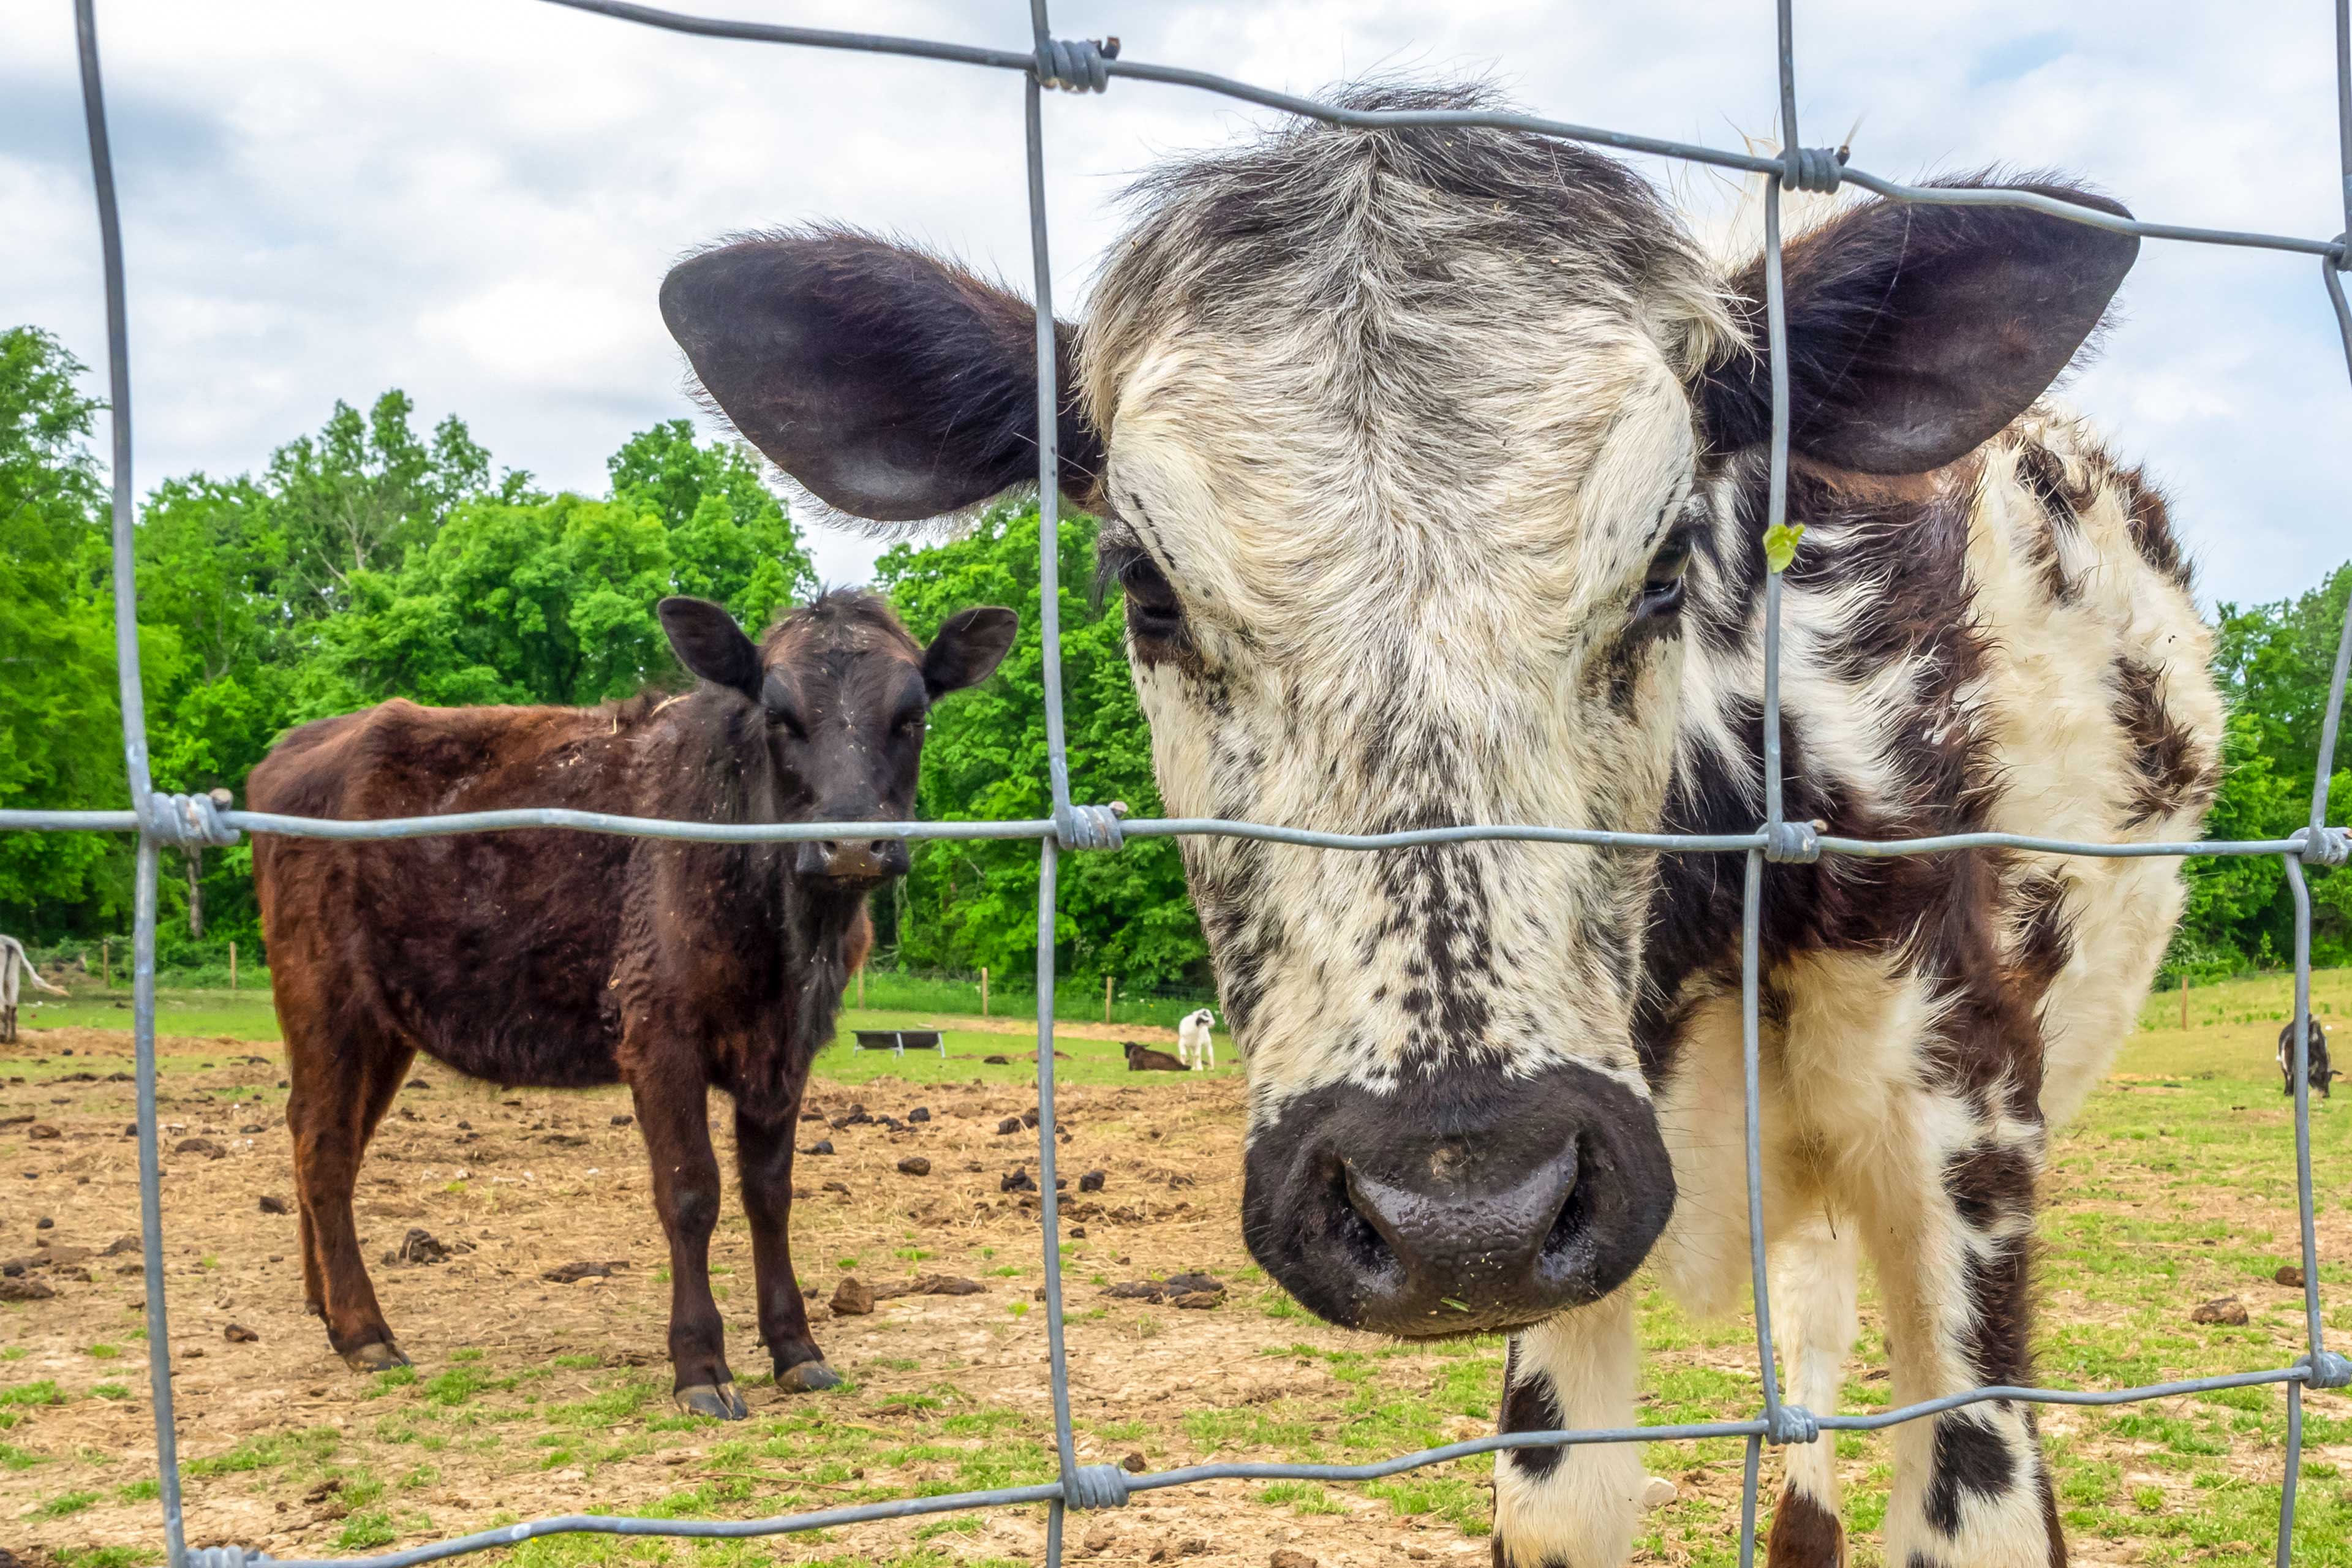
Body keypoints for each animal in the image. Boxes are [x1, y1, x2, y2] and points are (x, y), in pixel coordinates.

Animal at [0, 940, 70, 1048]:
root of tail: (8, 941)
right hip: (13, 977)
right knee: (12, 1007)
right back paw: (11, 1039)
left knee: (4, 1007)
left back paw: (4, 1038)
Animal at [250, 592, 1020, 1420]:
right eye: (777, 714)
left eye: (913, 715)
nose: (850, 845)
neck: (786, 936)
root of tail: (298, 746)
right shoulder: (658, 1033)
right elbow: (690, 1191)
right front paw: (701, 1365)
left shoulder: (786, 1048)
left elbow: (770, 1192)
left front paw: (797, 1348)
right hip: (325, 1000)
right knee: (324, 1145)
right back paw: (365, 1330)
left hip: (388, 1023)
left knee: (327, 1138)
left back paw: (326, 1307)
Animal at [663, 83, 2220, 1568]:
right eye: (1145, 585)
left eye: (1669, 560)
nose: (1453, 1209)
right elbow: (1556, 1501)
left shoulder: (1966, 1124)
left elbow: (1981, 1499)